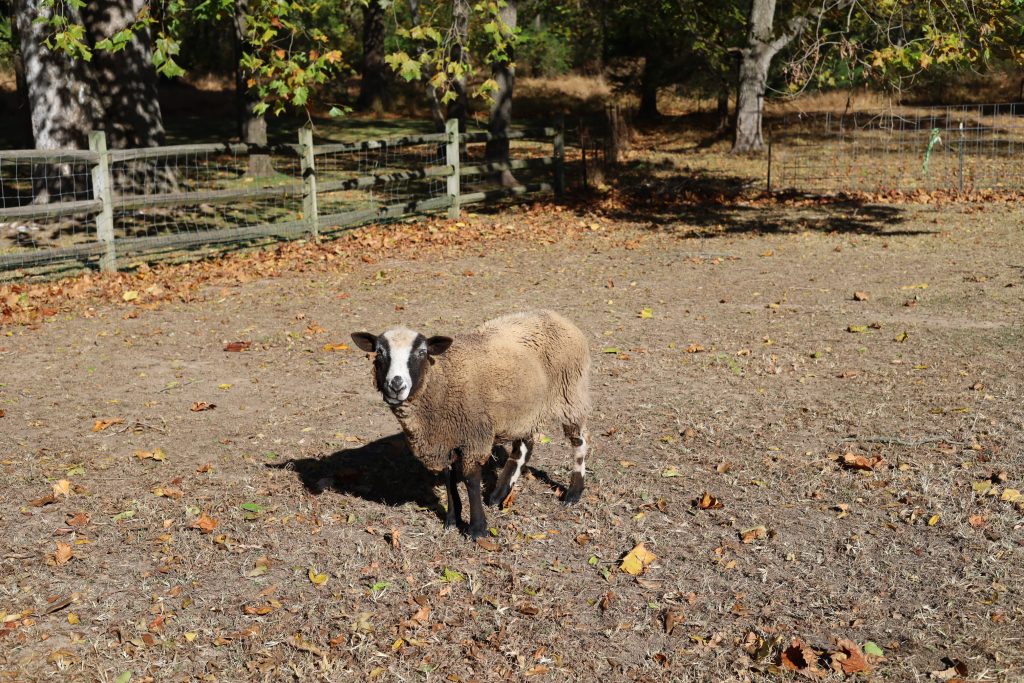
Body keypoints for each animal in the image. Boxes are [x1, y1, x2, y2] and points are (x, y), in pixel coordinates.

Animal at [351, 310, 591, 539]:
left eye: (422, 353)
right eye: (380, 353)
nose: (396, 385)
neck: (442, 379)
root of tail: (556, 316)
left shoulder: (473, 435)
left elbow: (471, 480)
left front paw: (477, 528)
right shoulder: (444, 438)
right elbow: (448, 477)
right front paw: (452, 519)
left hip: (570, 391)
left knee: (579, 441)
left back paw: (574, 493)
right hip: (524, 407)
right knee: (524, 446)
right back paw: (498, 495)